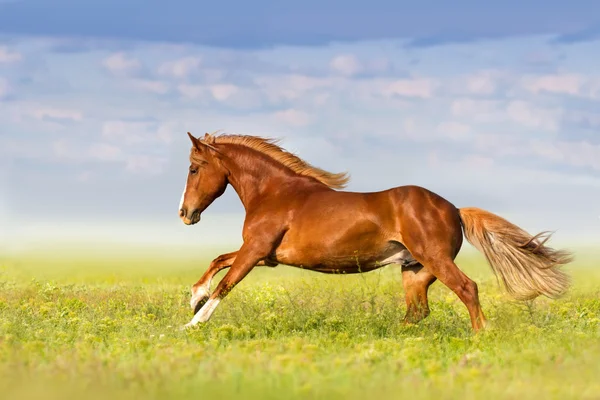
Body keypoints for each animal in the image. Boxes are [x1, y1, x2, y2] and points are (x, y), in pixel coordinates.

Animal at [177, 131, 572, 332]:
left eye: (194, 169)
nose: (185, 214)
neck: (275, 193)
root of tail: (454, 209)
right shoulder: (268, 256)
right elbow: (219, 261)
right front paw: (194, 297)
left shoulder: (256, 250)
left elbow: (227, 284)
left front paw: (190, 326)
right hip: (415, 270)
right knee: (418, 311)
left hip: (434, 261)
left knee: (467, 289)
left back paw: (480, 337)